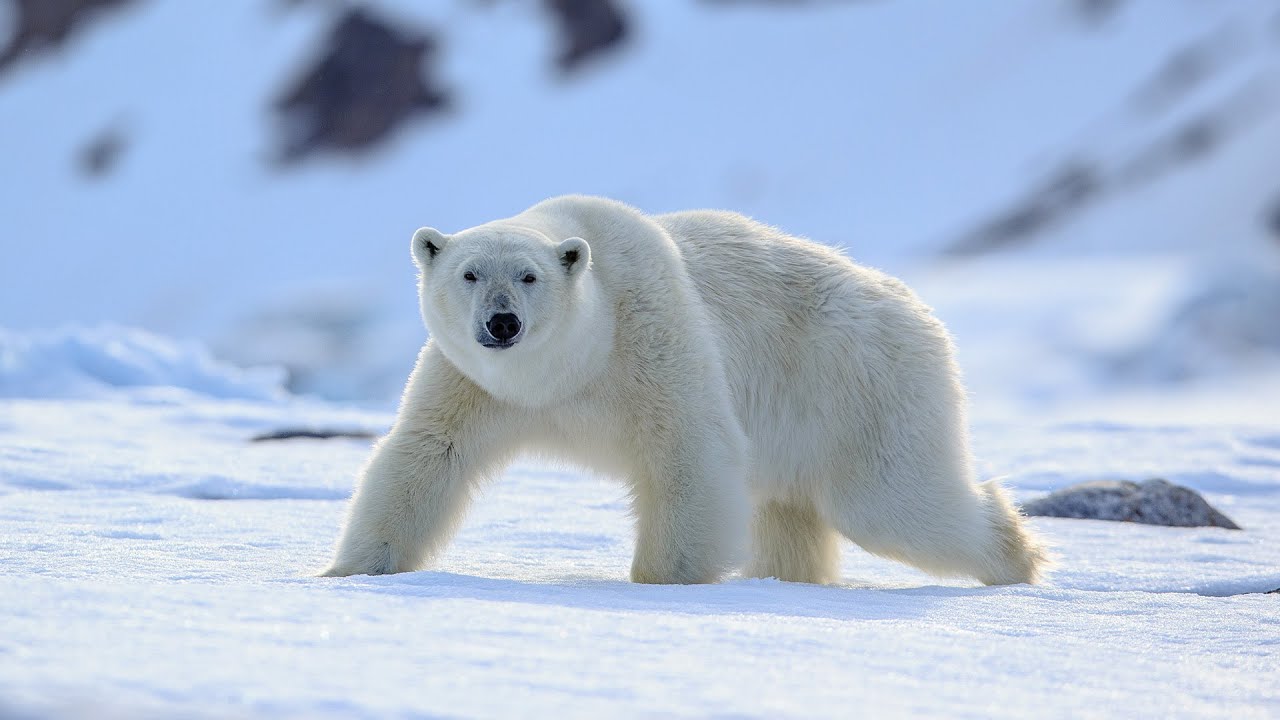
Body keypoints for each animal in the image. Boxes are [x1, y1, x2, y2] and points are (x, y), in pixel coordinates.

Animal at [321, 195, 1048, 586]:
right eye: (469, 273)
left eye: (529, 276)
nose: (502, 324)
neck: (569, 368)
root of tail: (917, 309)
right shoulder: (473, 383)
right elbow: (426, 454)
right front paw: (349, 571)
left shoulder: (652, 335)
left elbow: (687, 451)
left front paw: (662, 582)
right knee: (791, 512)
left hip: (860, 386)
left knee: (894, 501)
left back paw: (1018, 558)